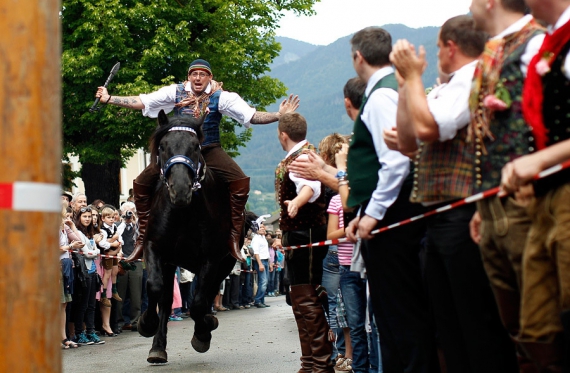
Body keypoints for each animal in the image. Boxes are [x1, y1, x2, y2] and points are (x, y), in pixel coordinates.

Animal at [136, 109, 252, 362]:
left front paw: (202, 333)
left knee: (208, 293)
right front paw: (146, 324)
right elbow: (155, 287)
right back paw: (158, 347)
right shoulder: (154, 248)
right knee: (167, 299)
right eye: (163, 146)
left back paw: (206, 324)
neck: (183, 213)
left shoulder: (211, 258)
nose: (180, 190)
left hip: (226, 262)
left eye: (196, 147)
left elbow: (199, 301)